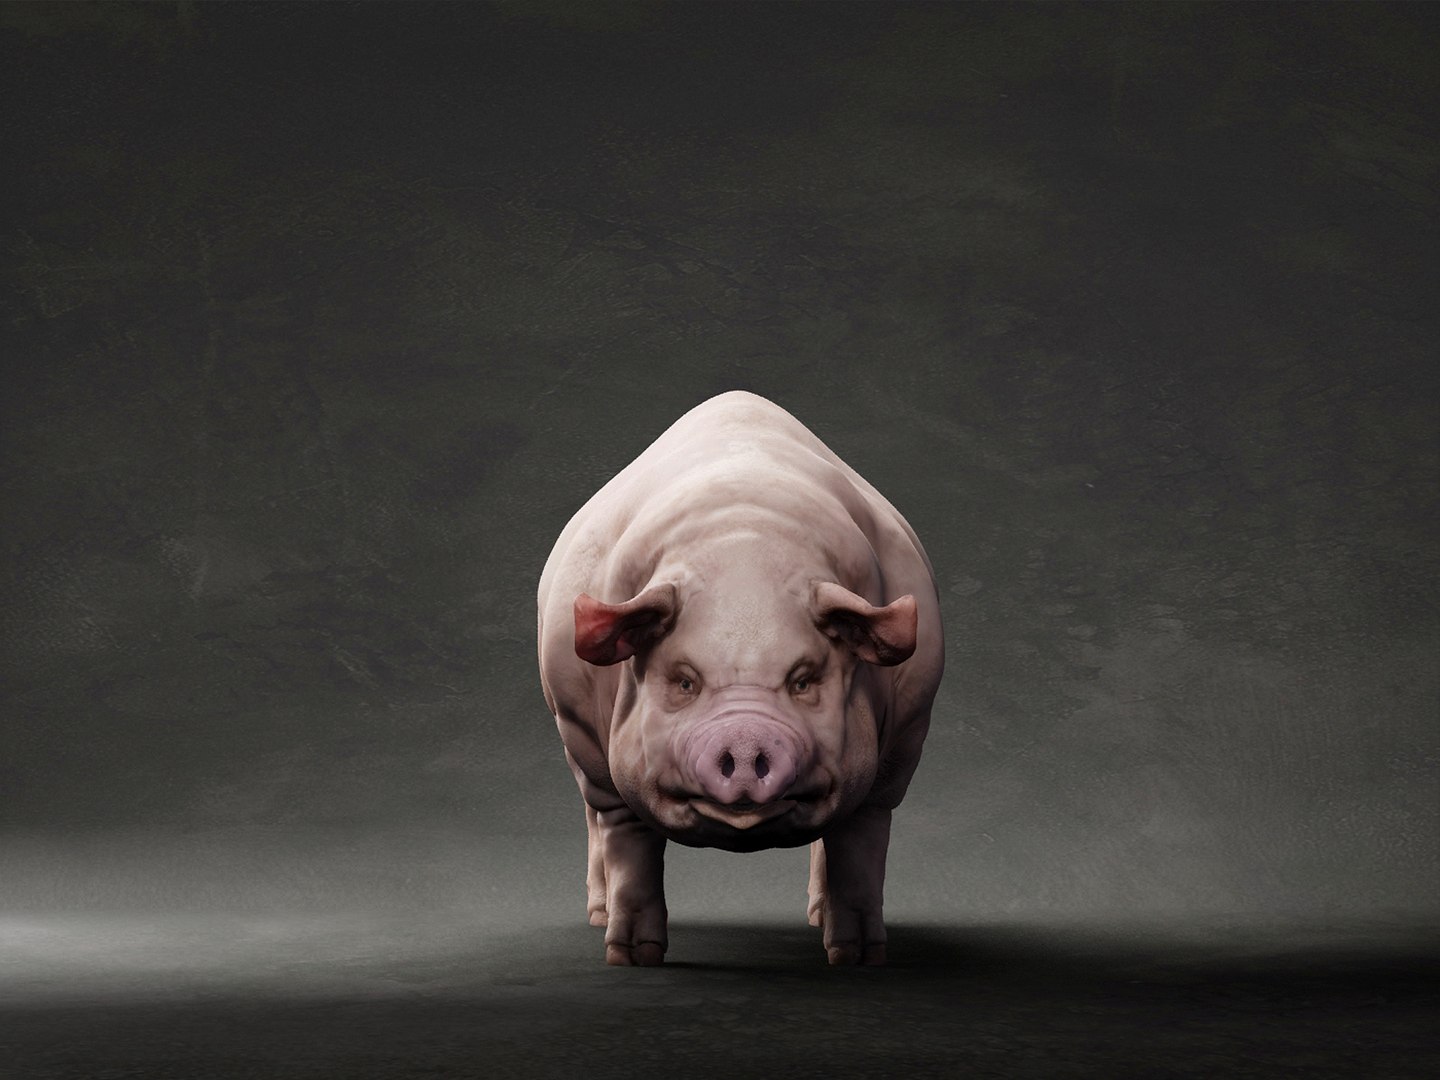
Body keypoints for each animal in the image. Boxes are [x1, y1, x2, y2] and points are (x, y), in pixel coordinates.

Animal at [537, 391, 943, 966]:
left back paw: (818, 919)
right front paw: (632, 958)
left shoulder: (902, 749)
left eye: (803, 679)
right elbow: (630, 842)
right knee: (597, 821)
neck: (744, 550)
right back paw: (598, 918)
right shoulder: (588, 745)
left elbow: (860, 844)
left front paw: (858, 959)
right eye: (684, 681)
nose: (747, 738)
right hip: (574, 740)